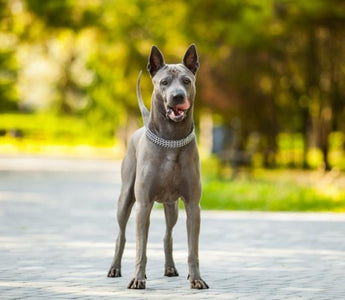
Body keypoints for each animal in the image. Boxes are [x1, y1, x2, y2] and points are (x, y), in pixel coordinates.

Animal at [107, 43, 208, 290]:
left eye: (186, 81)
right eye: (164, 82)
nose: (177, 96)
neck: (171, 140)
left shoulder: (193, 206)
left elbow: (193, 250)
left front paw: (197, 278)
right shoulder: (143, 205)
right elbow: (140, 248)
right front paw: (138, 278)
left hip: (172, 207)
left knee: (167, 235)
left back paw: (170, 268)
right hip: (125, 198)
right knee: (121, 234)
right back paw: (115, 268)